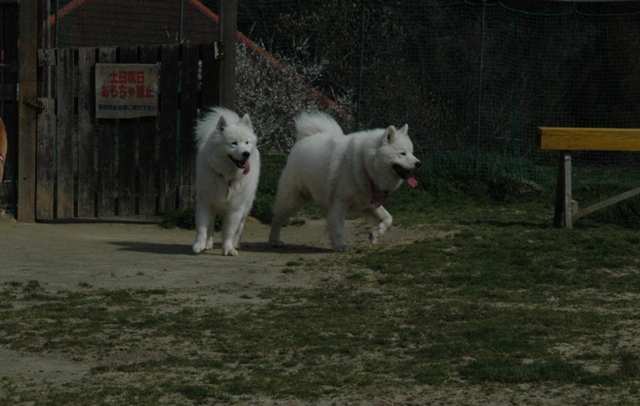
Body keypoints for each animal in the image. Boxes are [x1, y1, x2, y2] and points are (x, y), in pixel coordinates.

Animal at [192, 106, 260, 255]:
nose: (246, 154)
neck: (226, 177)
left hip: (245, 207)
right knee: (211, 227)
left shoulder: (235, 209)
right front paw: (199, 245)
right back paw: (208, 244)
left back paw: (235, 244)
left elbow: (229, 231)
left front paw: (228, 248)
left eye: (247, 142)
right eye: (234, 143)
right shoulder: (205, 203)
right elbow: (202, 228)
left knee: (239, 228)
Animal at [268, 111, 420, 251]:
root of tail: (306, 138)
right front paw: (340, 245)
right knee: (277, 218)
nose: (418, 163)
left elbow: (388, 219)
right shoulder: (339, 202)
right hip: (292, 199)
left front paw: (375, 235)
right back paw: (274, 240)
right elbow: (338, 226)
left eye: (412, 153)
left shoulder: (369, 202)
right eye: (402, 153)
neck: (365, 162)